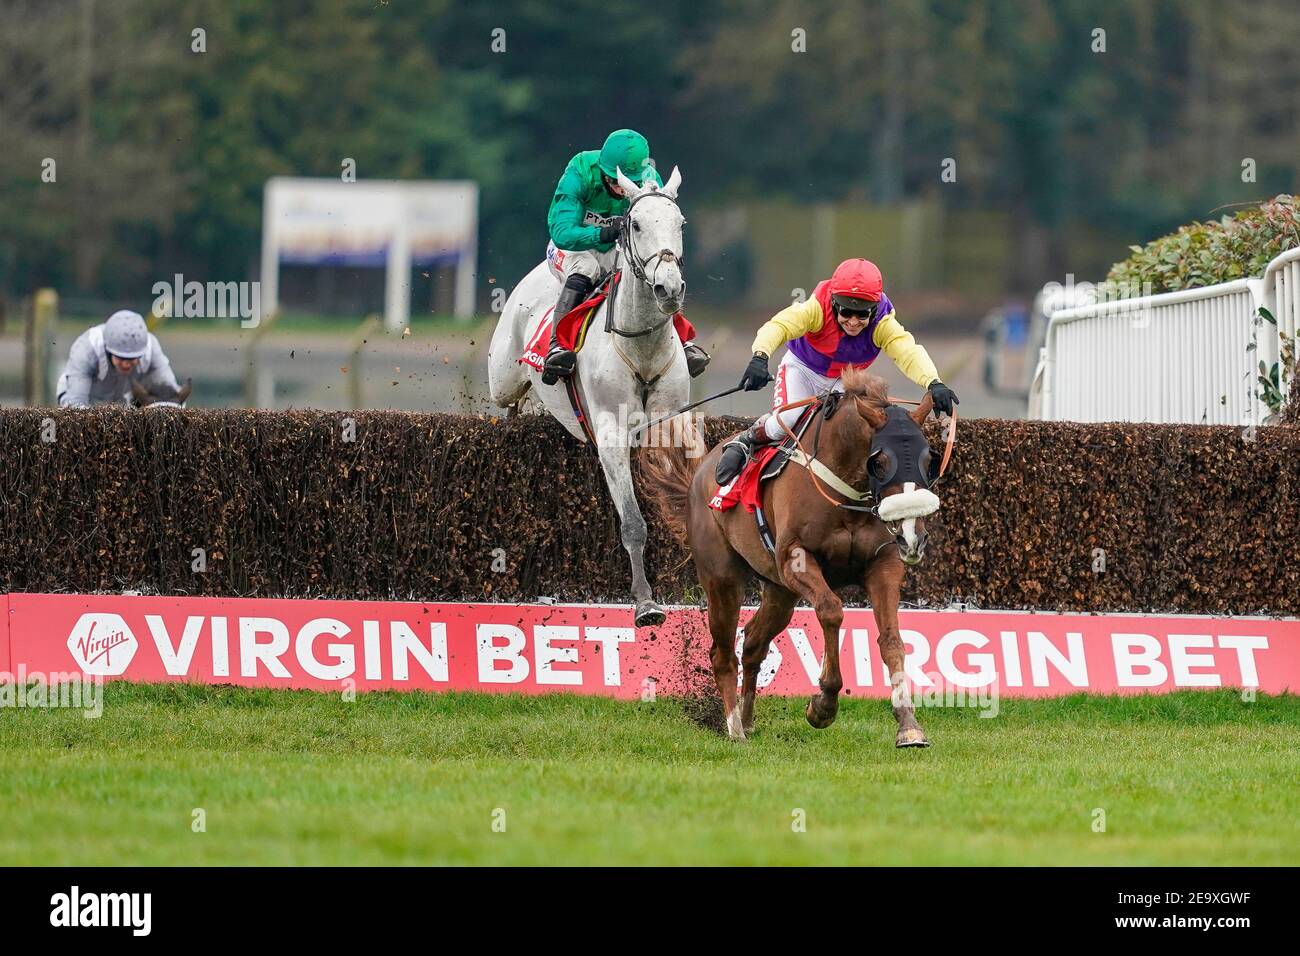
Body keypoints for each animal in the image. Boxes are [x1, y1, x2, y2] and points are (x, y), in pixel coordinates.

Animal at [488, 164, 696, 629]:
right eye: (635, 225)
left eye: (679, 223)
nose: (669, 289)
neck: (641, 344)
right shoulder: (611, 433)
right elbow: (633, 522)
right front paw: (646, 602)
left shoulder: (667, 426)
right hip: (503, 379)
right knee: (511, 402)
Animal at [642, 366, 941, 749]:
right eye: (880, 461)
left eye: (928, 461)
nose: (912, 536)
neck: (845, 491)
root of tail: (698, 473)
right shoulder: (795, 559)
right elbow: (831, 611)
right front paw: (823, 705)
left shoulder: (883, 564)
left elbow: (891, 639)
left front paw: (909, 726)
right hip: (722, 578)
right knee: (722, 654)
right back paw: (734, 727)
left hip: (780, 592)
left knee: (753, 643)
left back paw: (747, 719)